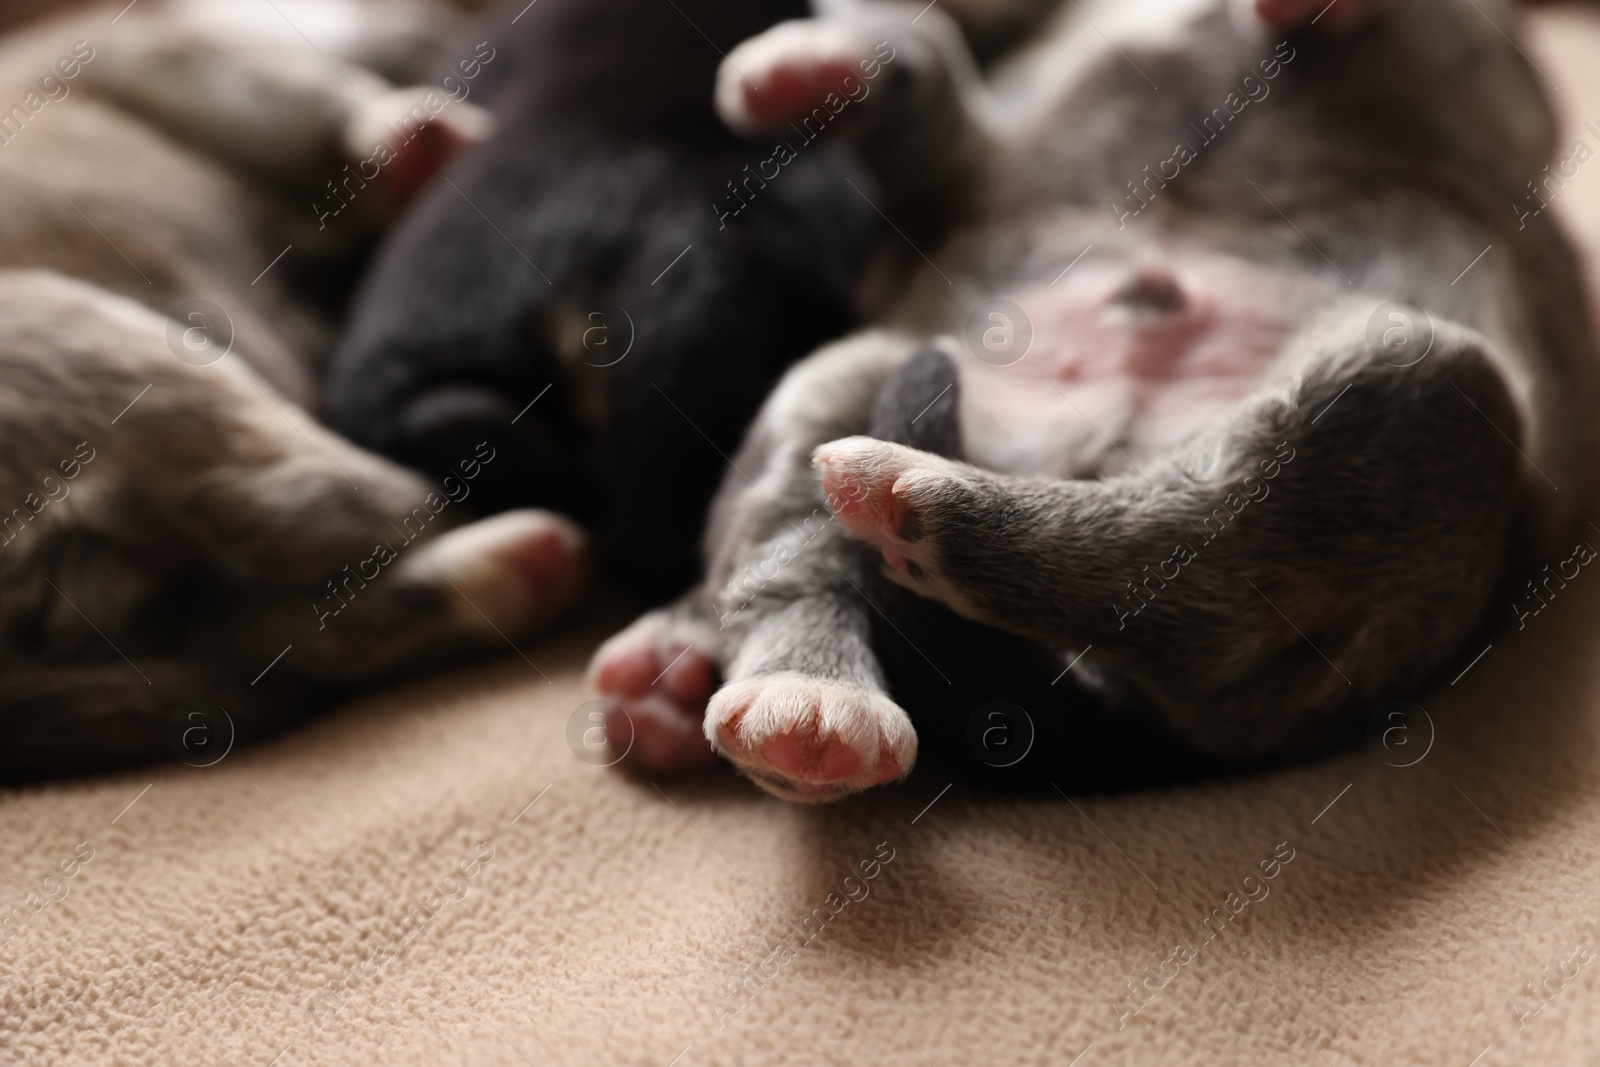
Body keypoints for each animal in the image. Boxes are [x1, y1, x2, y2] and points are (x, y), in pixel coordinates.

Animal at [0, 0, 592, 783]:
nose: (429, 36)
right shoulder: (156, 52)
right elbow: (309, 105)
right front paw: (416, 138)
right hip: (119, 357)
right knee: (299, 509)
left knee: (271, 624)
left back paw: (511, 575)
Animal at [592, 0, 1600, 799]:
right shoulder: (966, 166)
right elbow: (930, 85)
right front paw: (805, 68)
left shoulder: (1487, 61)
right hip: (844, 376)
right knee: (787, 550)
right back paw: (796, 694)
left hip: (1420, 384)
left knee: (1191, 560)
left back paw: (913, 518)